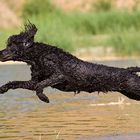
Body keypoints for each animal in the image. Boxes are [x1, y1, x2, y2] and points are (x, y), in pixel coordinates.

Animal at [0, 23, 140, 103]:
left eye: (11, 46)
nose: (0, 53)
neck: (38, 55)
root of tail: (128, 70)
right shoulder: (33, 81)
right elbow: (16, 83)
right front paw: (3, 88)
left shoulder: (59, 76)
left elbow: (39, 86)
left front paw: (44, 98)